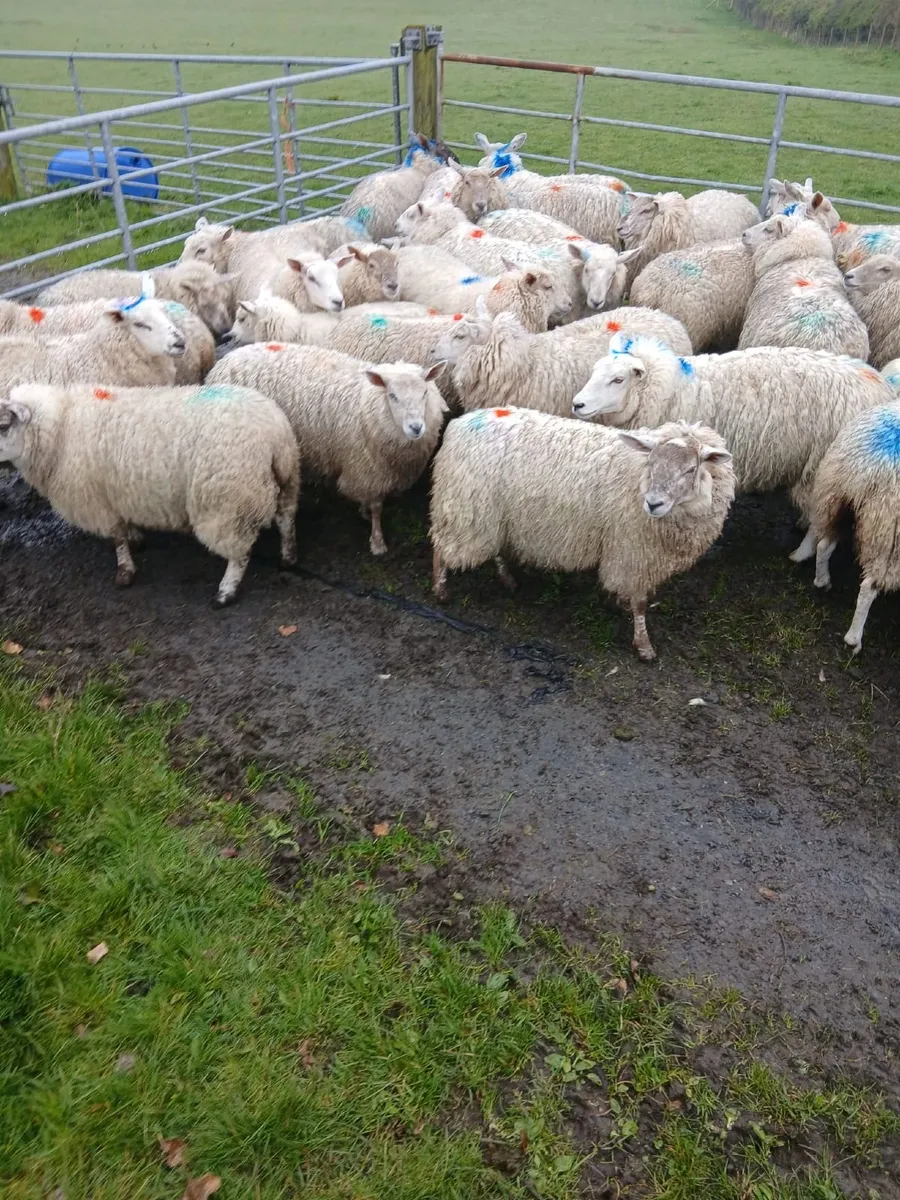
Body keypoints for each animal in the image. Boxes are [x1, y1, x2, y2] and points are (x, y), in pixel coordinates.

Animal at [0, 381, 299, 606]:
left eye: (3, 425)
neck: (61, 428)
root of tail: (275, 434)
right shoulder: (115, 496)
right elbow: (124, 528)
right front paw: (136, 539)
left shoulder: (98, 502)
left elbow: (117, 538)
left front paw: (125, 571)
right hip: (285, 481)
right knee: (286, 520)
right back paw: (287, 558)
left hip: (227, 502)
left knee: (240, 553)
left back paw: (226, 591)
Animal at [207, 345, 447, 555]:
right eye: (393, 396)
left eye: (425, 393)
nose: (416, 427)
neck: (368, 403)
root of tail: (227, 358)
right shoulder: (367, 469)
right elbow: (377, 507)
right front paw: (377, 541)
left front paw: (364, 512)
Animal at [430, 407, 734, 661]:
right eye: (651, 463)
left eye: (691, 469)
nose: (653, 503)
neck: (637, 479)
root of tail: (459, 424)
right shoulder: (632, 550)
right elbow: (640, 604)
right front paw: (644, 645)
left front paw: (619, 604)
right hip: (465, 509)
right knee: (441, 548)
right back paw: (441, 591)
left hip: (493, 514)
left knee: (494, 546)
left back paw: (508, 580)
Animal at [570, 332, 893, 528]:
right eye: (595, 371)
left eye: (618, 379)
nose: (577, 404)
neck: (672, 389)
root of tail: (880, 386)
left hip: (821, 466)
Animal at [795, 402, 900, 653]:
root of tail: (869, 469)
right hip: (887, 537)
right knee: (869, 587)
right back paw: (854, 639)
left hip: (835, 502)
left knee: (824, 545)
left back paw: (822, 581)